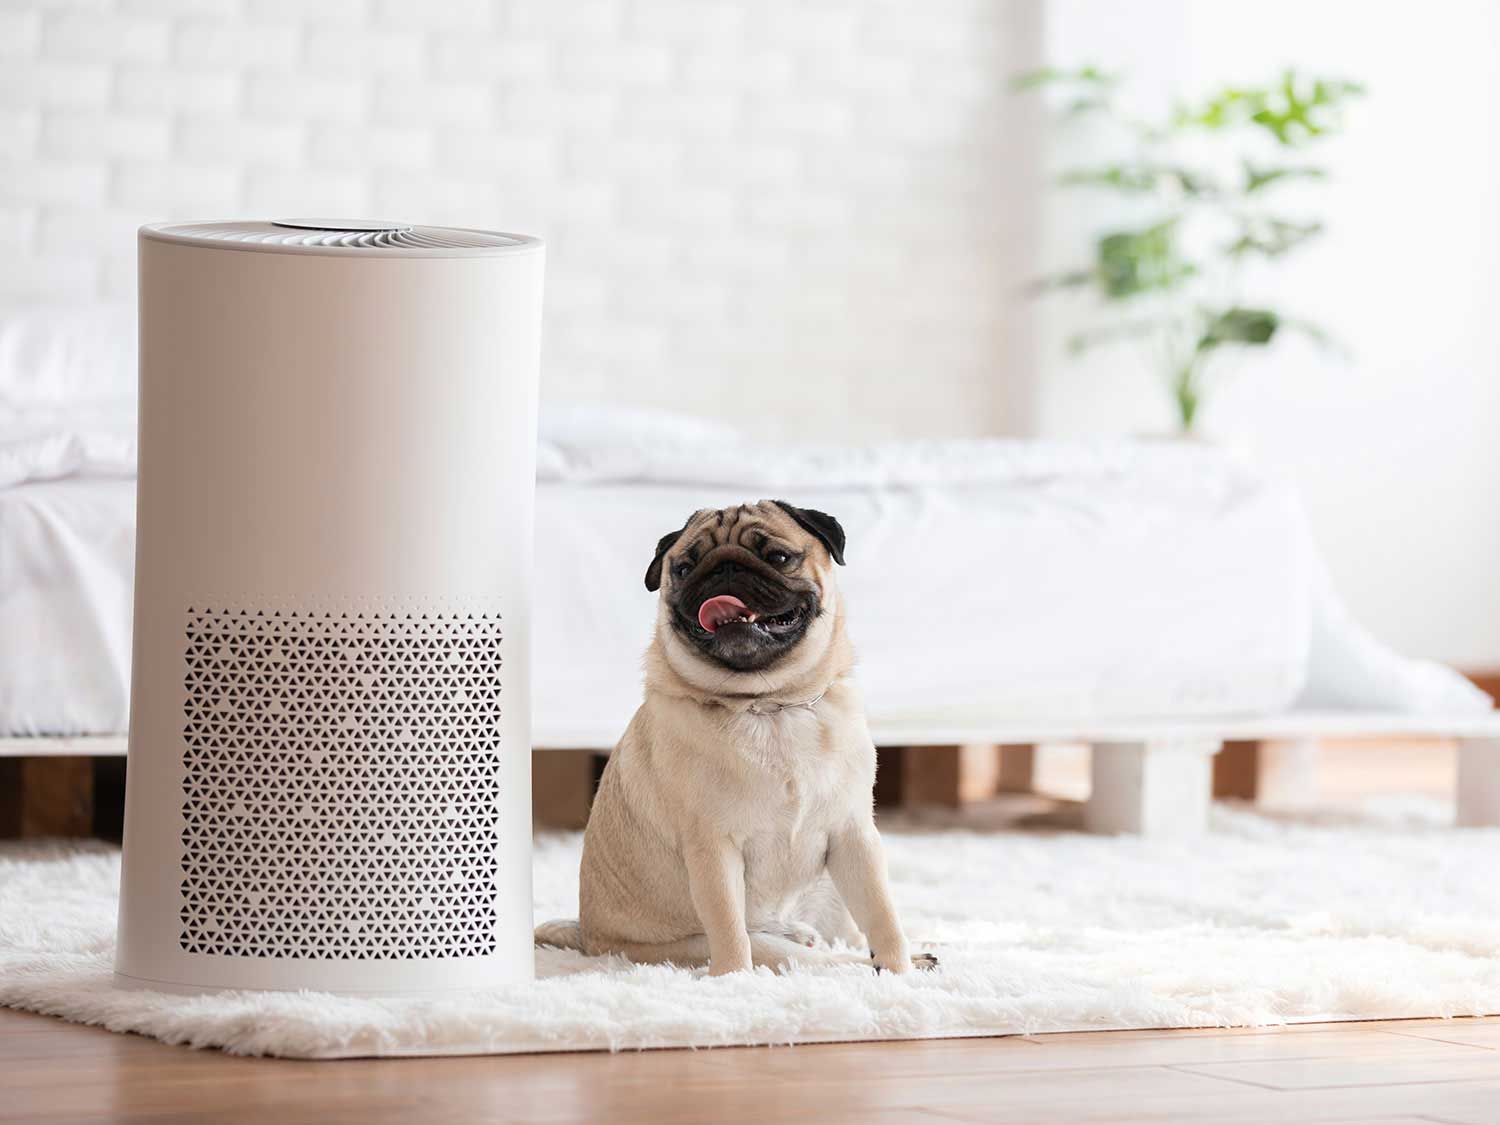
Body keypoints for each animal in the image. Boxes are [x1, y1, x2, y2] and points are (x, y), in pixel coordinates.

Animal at [540, 501, 930, 978]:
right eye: (684, 568)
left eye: (778, 557)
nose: (724, 568)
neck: (770, 704)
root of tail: (589, 938)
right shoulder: (713, 848)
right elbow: (727, 924)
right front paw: (733, 979)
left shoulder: (854, 836)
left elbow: (882, 913)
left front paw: (899, 970)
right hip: (742, 944)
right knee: (811, 957)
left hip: (833, 894)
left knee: (846, 935)